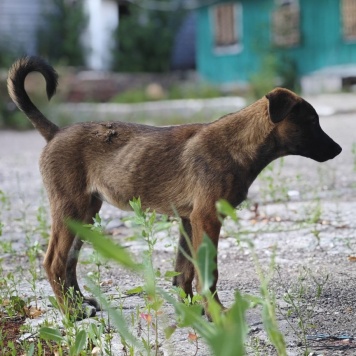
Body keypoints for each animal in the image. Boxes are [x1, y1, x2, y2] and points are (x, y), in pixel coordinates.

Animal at [7, 57, 342, 318]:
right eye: (312, 122)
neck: (237, 144)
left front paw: (191, 308)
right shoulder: (207, 218)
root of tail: (55, 132)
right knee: (54, 261)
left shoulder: (189, 220)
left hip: (86, 213)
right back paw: (71, 312)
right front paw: (216, 313)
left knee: (69, 262)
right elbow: (207, 272)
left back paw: (81, 304)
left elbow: (185, 271)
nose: (339, 149)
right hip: (70, 209)